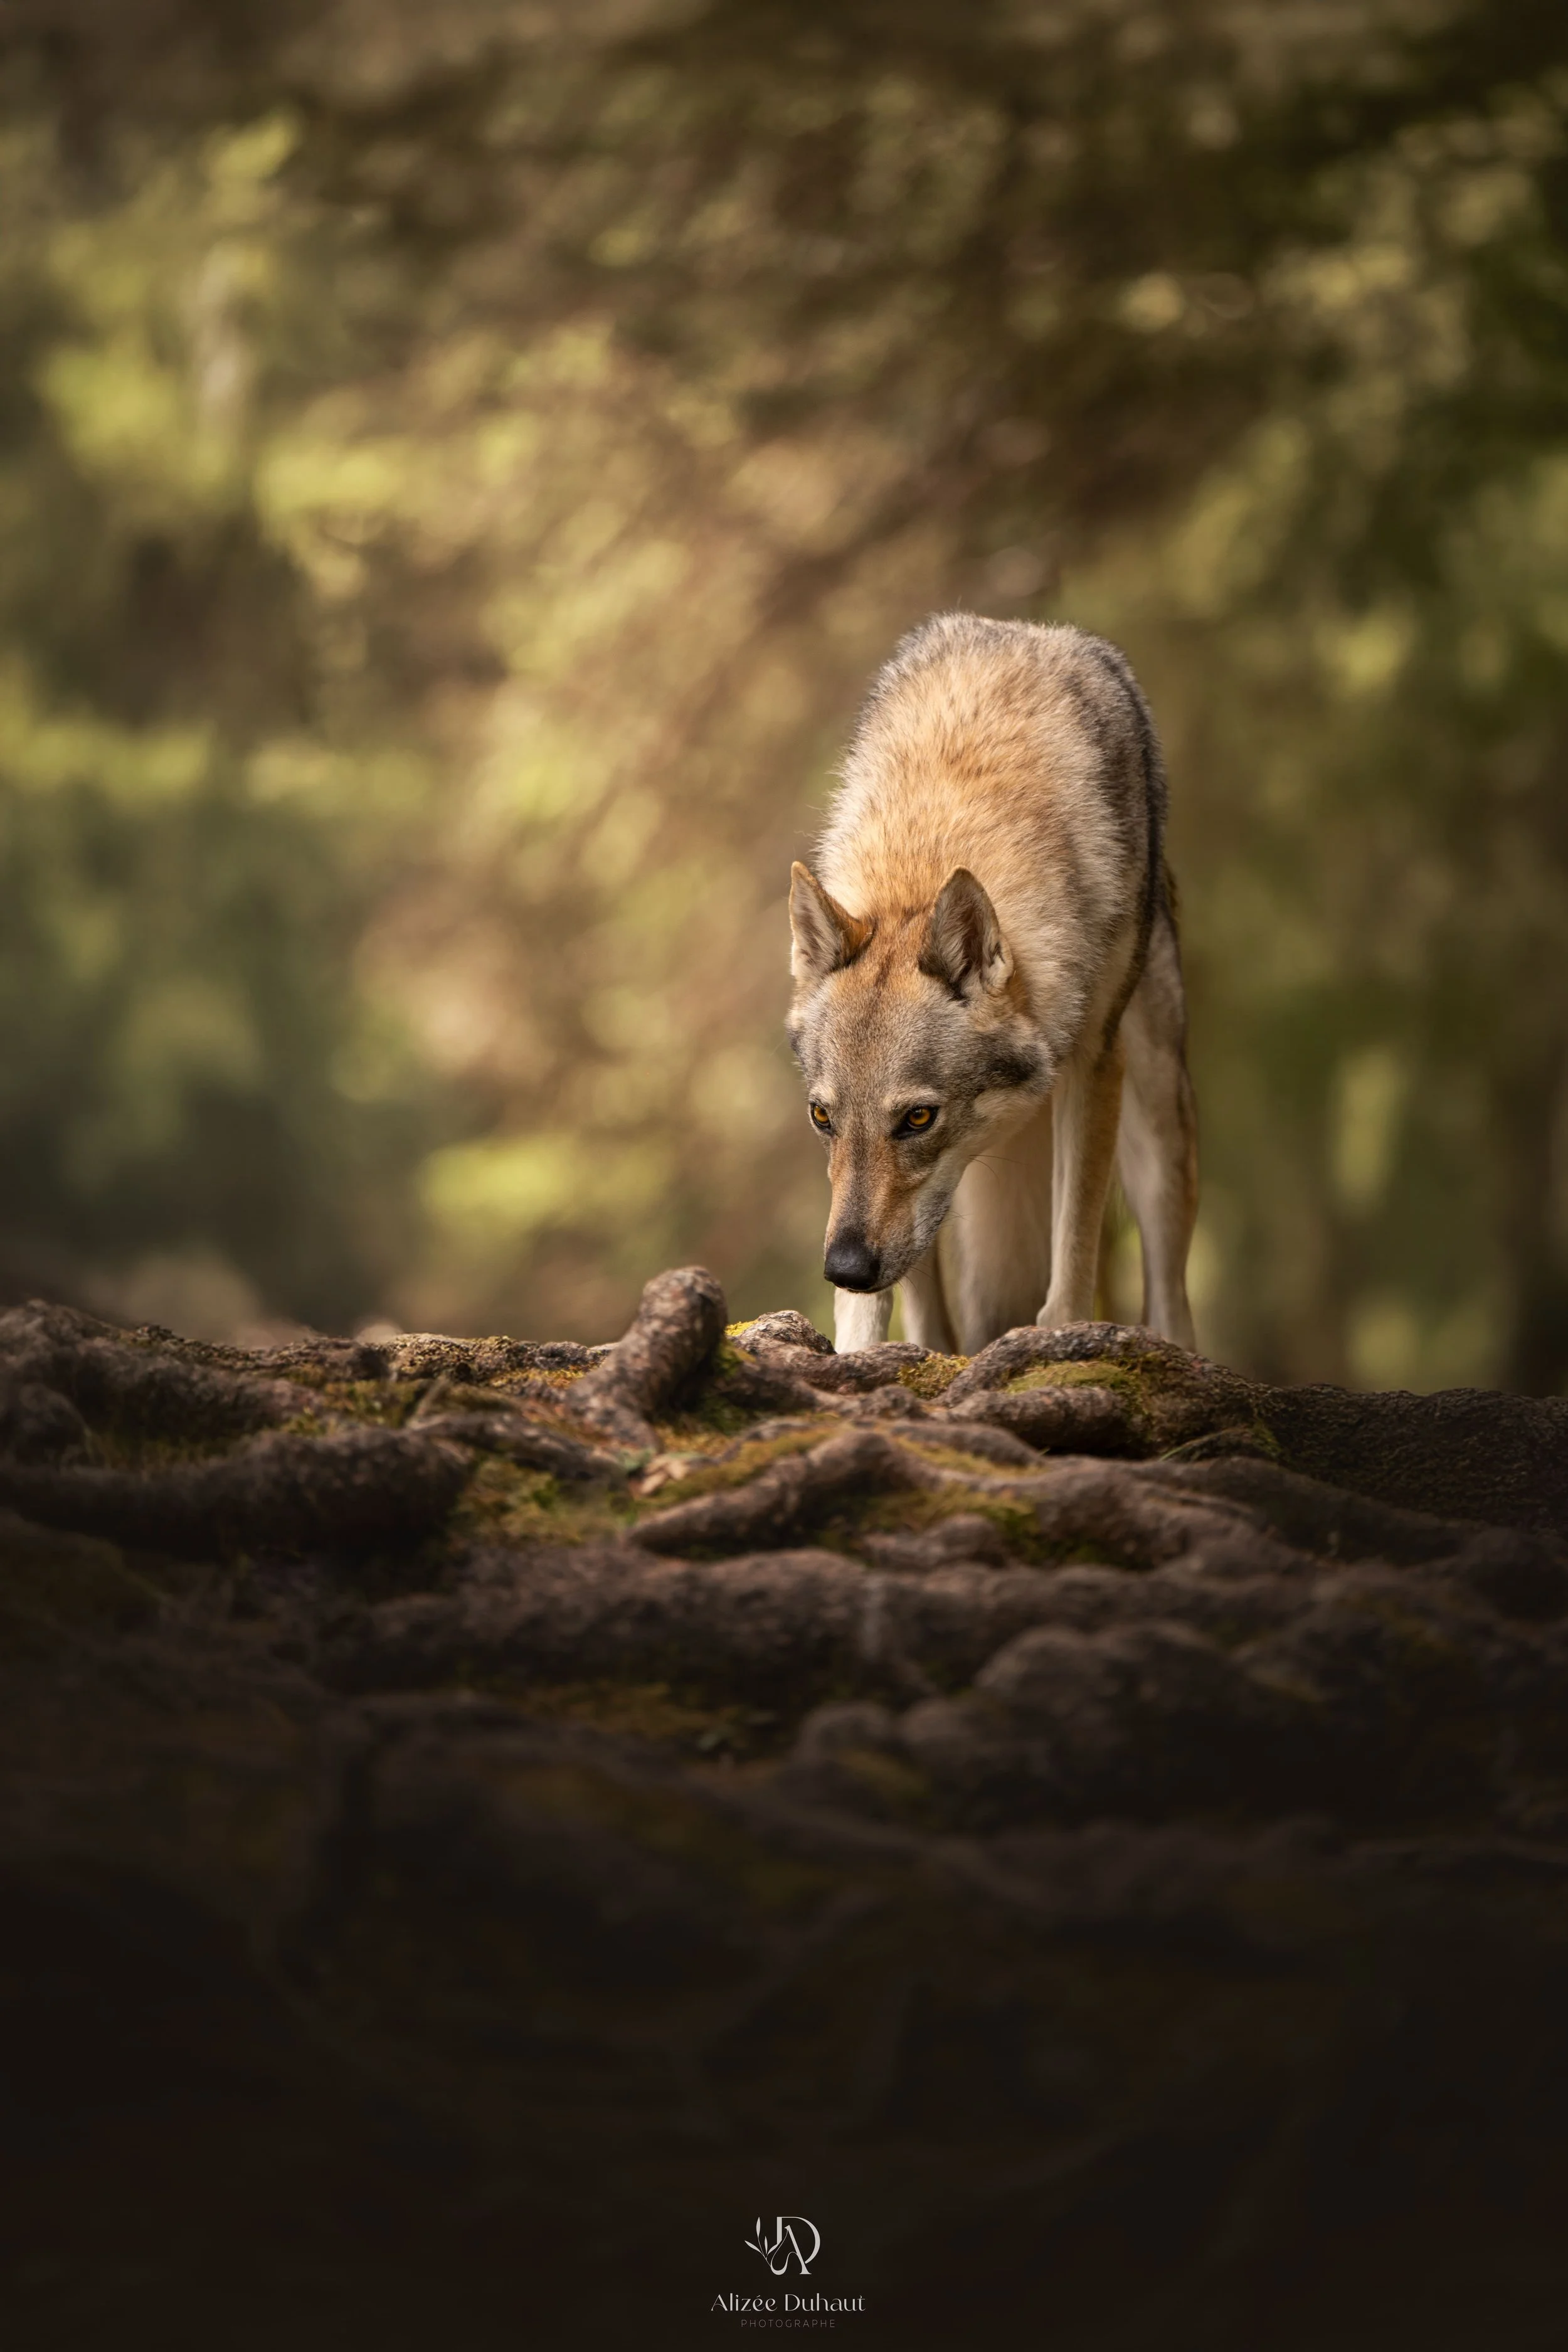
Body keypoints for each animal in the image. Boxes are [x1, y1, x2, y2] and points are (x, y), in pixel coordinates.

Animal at [787, 613, 1197, 1357]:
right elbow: (892, 1299)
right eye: (822, 1117)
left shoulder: (1096, 1063)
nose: (844, 1267)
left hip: (1157, 1121)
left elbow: (1074, 1242)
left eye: (918, 1119)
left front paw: (1059, 1338)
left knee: (1170, 1295)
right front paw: (859, 1354)